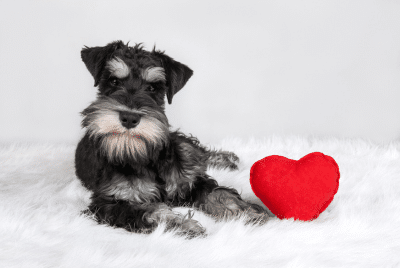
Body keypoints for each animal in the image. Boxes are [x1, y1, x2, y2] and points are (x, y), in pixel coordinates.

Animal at [75, 40, 268, 238]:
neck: (144, 155)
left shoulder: (187, 184)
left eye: (153, 87)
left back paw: (225, 158)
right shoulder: (109, 204)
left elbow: (216, 192)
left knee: (196, 152)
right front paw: (184, 224)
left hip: (179, 145)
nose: (129, 117)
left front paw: (243, 211)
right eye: (114, 81)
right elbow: (152, 212)